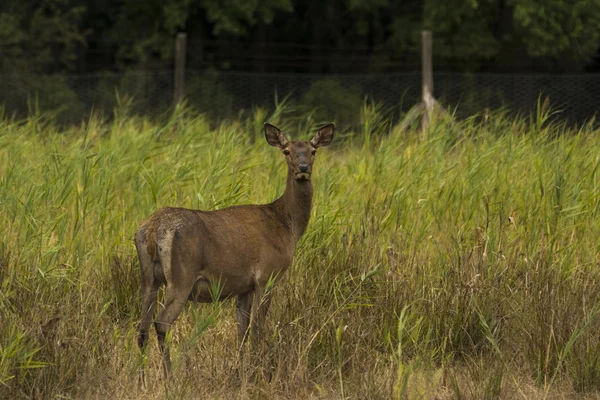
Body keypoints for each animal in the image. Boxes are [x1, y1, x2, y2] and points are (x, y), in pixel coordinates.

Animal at [133, 122, 336, 382]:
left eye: (313, 151)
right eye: (287, 151)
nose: (303, 169)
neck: (285, 226)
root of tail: (152, 229)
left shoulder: (243, 286)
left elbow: (242, 329)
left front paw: (240, 370)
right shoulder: (266, 275)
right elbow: (257, 327)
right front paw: (260, 370)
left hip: (149, 277)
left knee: (142, 327)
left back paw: (142, 378)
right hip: (182, 276)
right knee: (161, 322)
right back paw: (170, 377)